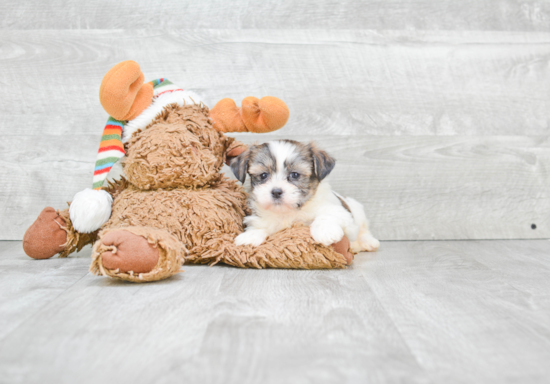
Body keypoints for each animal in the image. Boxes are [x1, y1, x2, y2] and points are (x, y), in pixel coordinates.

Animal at [230, 140, 380, 254]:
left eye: (295, 175)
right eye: (263, 175)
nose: (276, 192)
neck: (289, 212)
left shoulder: (342, 213)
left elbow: (327, 214)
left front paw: (325, 231)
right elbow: (261, 225)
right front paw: (251, 235)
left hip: (358, 211)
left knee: (364, 230)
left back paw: (368, 242)